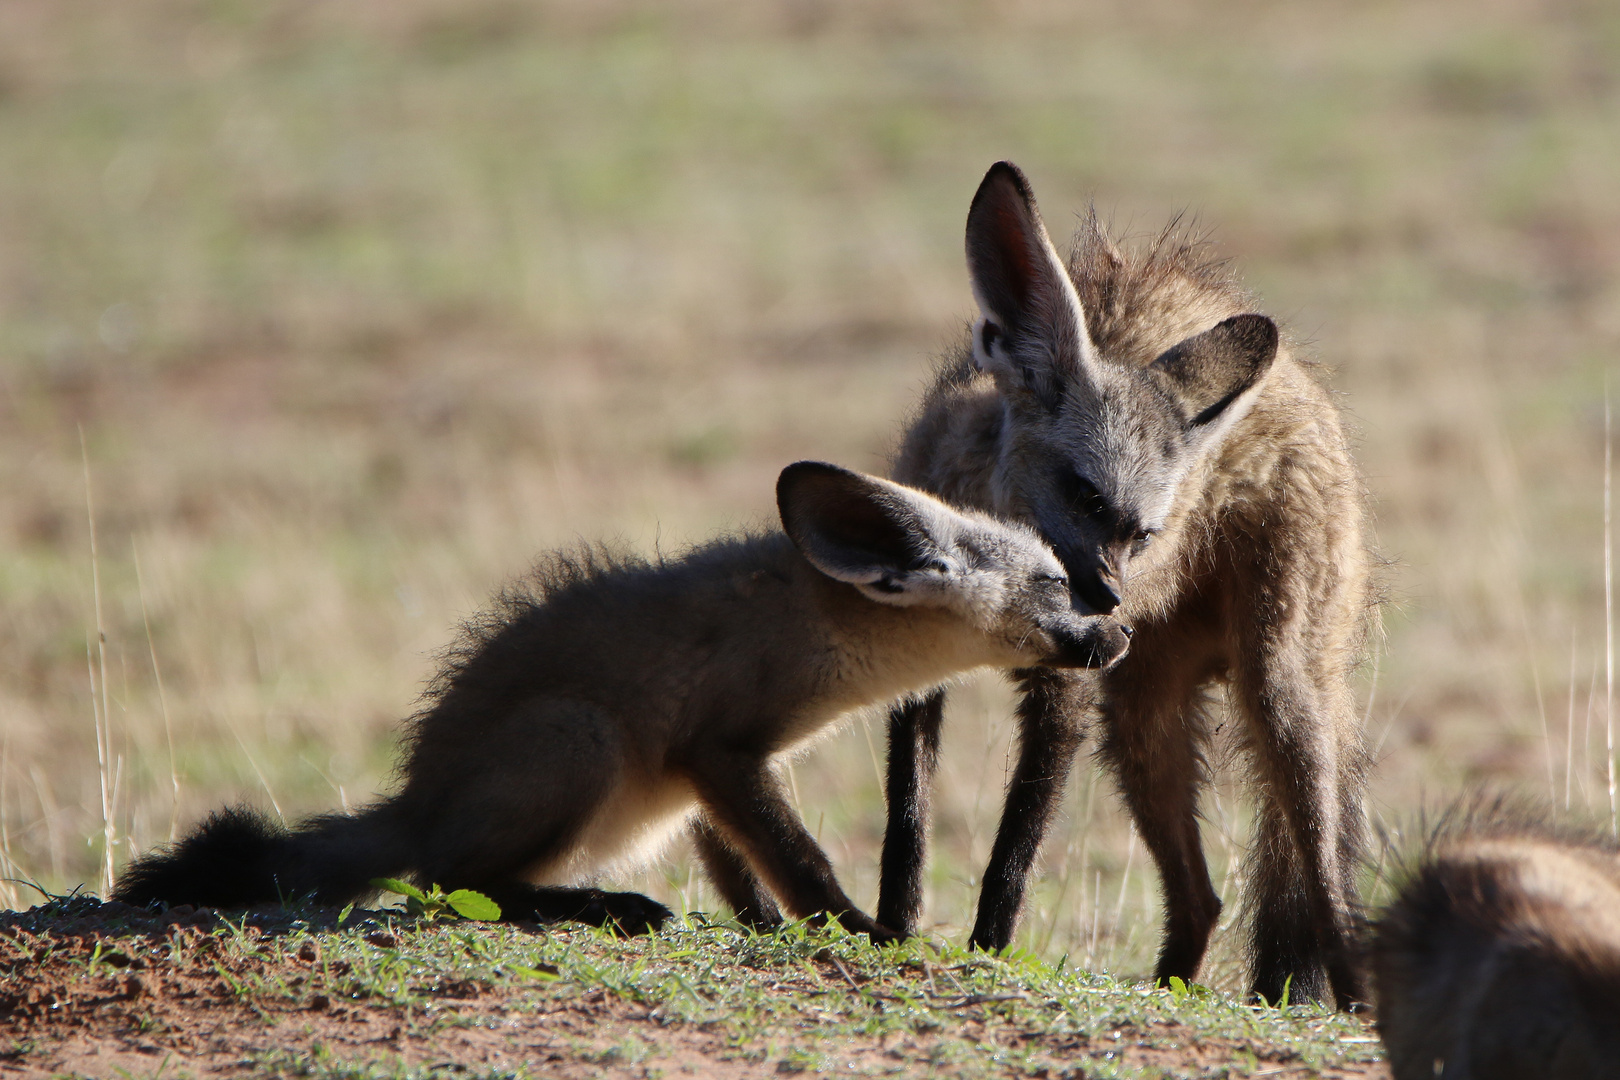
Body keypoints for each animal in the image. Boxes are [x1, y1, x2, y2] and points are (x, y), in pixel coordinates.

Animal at [114, 459, 1134, 939]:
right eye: (1057, 582)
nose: (1121, 635)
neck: (813, 615)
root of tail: (412, 799)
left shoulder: (698, 782)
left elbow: (744, 872)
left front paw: (769, 930)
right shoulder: (719, 750)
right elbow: (801, 861)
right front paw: (861, 934)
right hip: (582, 739)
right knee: (451, 882)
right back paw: (606, 907)